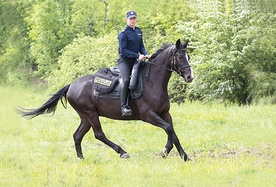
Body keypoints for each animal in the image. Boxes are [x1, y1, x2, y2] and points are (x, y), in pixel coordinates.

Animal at [18, 38, 194, 161]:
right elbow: (169, 129)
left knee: (77, 135)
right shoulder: (148, 115)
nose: (190, 77)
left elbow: (171, 131)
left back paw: (81, 158)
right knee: (99, 135)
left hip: (85, 117)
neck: (152, 81)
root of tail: (71, 85)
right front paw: (184, 156)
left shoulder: (164, 113)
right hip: (90, 114)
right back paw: (122, 152)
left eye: (188, 56)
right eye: (179, 56)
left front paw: (167, 152)